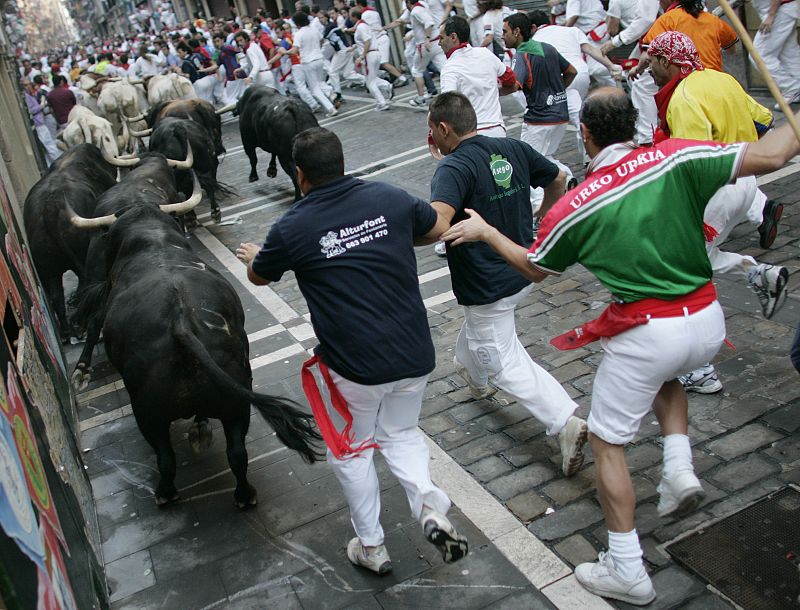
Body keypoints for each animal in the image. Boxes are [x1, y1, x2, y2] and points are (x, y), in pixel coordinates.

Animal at [67, 179, 320, 504]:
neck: (152, 240)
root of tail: (180, 325)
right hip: (237, 403)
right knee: (237, 452)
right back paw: (243, 493)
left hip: (148, 416)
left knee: (166, 458)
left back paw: (165, 493)